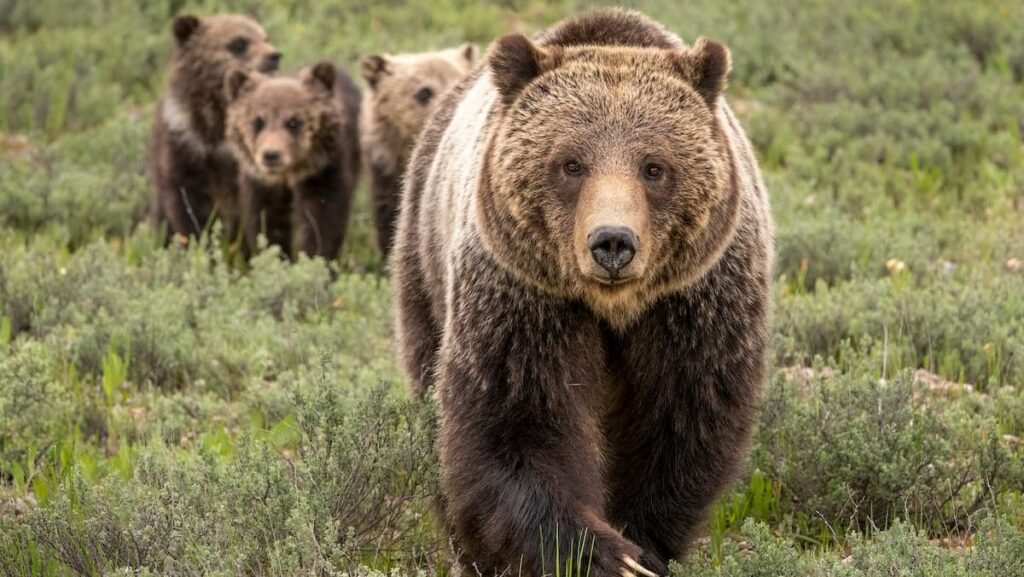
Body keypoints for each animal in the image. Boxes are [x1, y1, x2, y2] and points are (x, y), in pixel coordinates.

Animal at [224, 61, 361, 260]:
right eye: (257, 122)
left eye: (294, 122)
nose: (271, 154)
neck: (288, 175)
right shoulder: (260, 183)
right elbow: (266, 222)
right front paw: (277, 256)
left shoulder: (324, 172)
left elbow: (323, 219)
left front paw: (314, 257)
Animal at [391, 9, 773, 577]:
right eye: (570, 164)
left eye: (654, 166)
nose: (612, 242)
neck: (614, 309)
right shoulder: (523, 299)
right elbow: (516, 422)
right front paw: (601, 553)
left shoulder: (694, 302)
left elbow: (680, 421)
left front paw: (643, 545)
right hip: (423, 257)